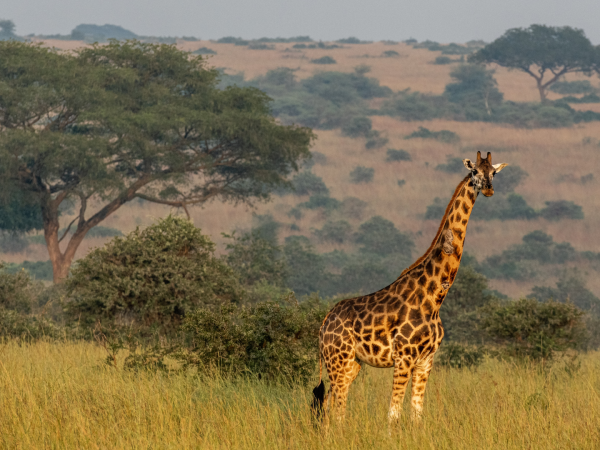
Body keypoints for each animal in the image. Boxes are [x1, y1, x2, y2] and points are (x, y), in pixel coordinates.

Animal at [314, 152, 506, 426]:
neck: (435, 297)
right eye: (474, 172)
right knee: (336, 411)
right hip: (337, 360)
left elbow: (417, 414)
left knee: (331, 407)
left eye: (494, 173)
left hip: (351, 363)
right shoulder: (404, 357)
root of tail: (323, 324)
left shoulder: (426, 360)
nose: (488, 189)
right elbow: (393, 414)